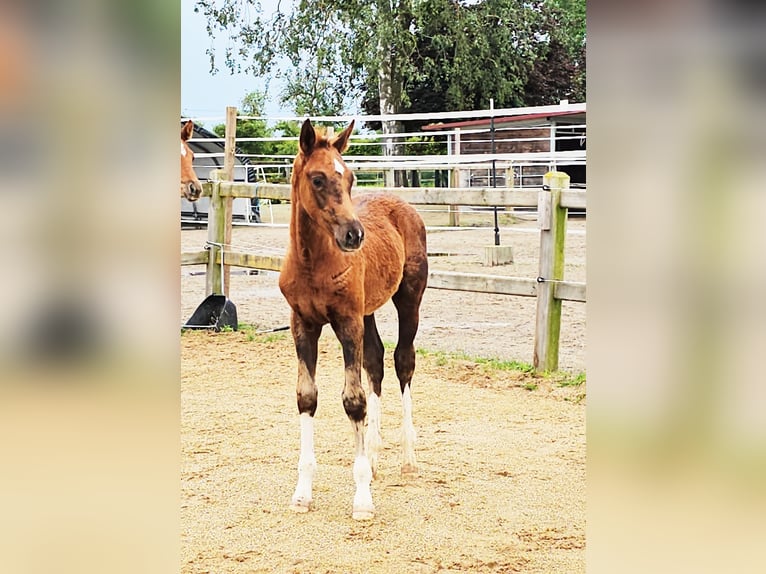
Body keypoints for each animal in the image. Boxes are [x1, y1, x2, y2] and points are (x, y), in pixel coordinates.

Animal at [280, 118, 432, 520]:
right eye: (317, 178)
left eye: (349, 178)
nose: (354, 235)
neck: (312, 263)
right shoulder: (303, 325)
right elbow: (307, 397)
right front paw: (302, 493)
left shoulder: (348, 322)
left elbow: (354, 401)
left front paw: (362, 499)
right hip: (369, 310)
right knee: (376, 361)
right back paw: (375, 454)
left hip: (409, 298)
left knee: (403, 361)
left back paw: (407, 459)